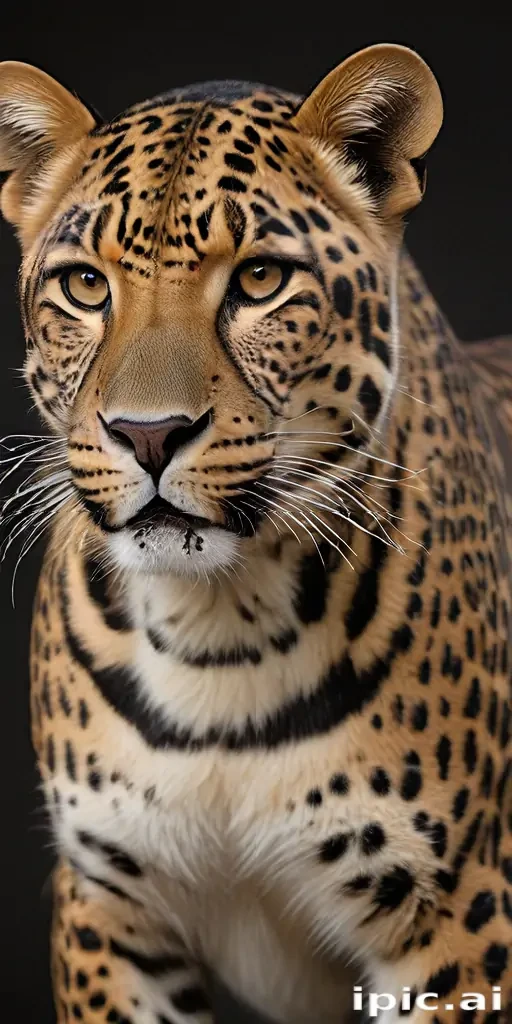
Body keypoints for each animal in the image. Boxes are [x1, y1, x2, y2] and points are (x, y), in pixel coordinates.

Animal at [0, 42, 510, 1024]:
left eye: (261, 282)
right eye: (85, 285)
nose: (149, 434)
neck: (218, 632)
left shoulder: (459, 916)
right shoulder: (109, 905)